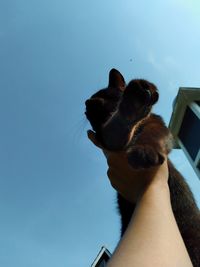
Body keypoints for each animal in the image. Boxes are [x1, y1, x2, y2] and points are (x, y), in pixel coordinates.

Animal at [85, 68, 200, 266]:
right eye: (90, 113)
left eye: (112, 96)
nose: (91, 104)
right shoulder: (106, 138)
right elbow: (115, 129)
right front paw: (130, 108)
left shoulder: (156, 124)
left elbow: (152, 133)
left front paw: (145, 149)